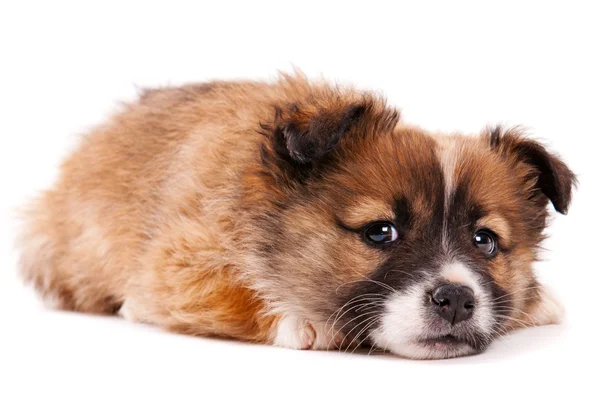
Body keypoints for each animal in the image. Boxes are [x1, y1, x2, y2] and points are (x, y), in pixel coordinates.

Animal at [16, 75, 576, 360]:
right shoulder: (175, 262)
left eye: (485, 241)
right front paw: (305, 321)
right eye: (381, 232)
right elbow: (232, 295)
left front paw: (535, 301)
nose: (457, 299)